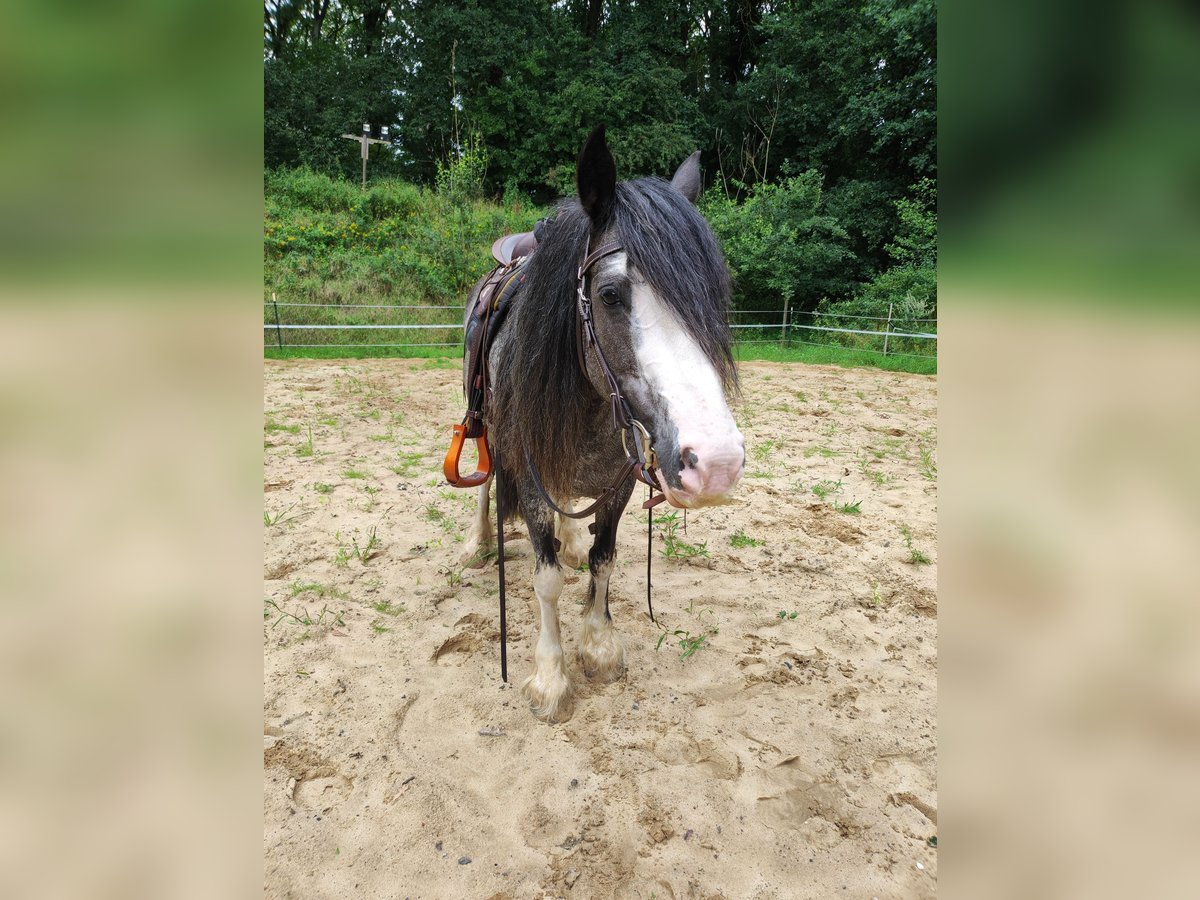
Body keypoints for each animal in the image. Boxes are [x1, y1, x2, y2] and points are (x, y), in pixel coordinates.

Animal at [456, 123, 739, 724]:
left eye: (711, 296)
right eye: (610, 295)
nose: (719, 465)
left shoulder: (618, 483)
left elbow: (602, 560)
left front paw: (601, 647)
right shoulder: (529, 477)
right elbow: (546, 581)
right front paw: (550, 677)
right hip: (483, 423)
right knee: (485, 482)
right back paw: (478, 543)